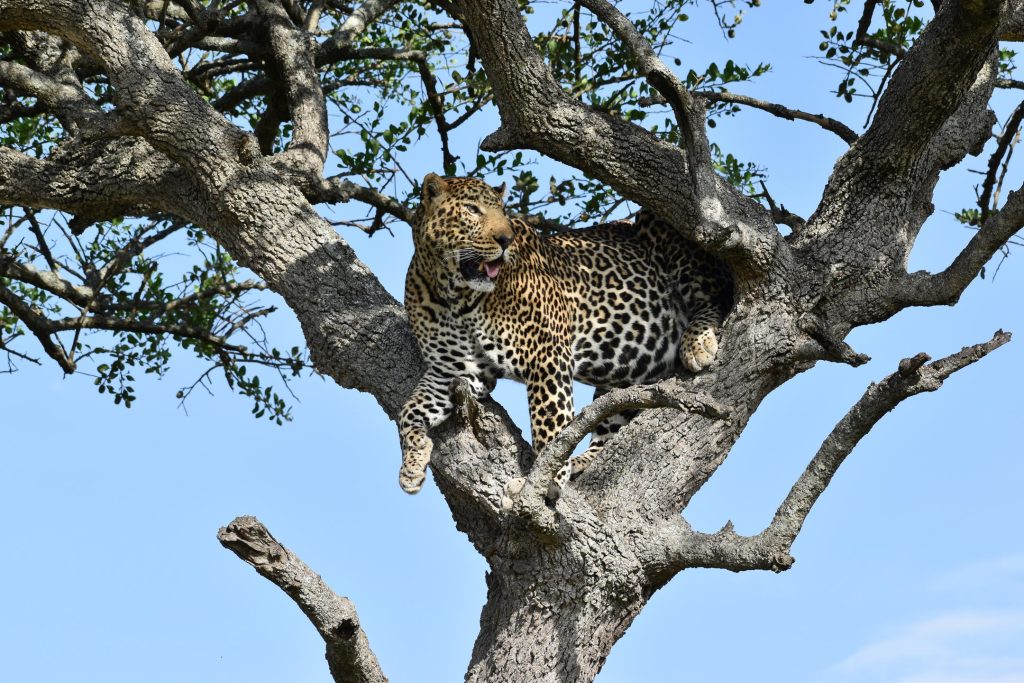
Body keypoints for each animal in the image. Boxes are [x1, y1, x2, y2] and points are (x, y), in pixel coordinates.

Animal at [398, 173, 733, 495]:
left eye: (503, 212)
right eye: (472, 209)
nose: (505, 239)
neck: (454, 294)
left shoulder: (547, 355)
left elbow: (550, 423)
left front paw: (545, 480)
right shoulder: (453, 372)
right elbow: (408, 412)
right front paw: (412, 465)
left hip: (661, 225)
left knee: (715, 296)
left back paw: (697, 342)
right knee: (611, 427)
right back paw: (581, 462)